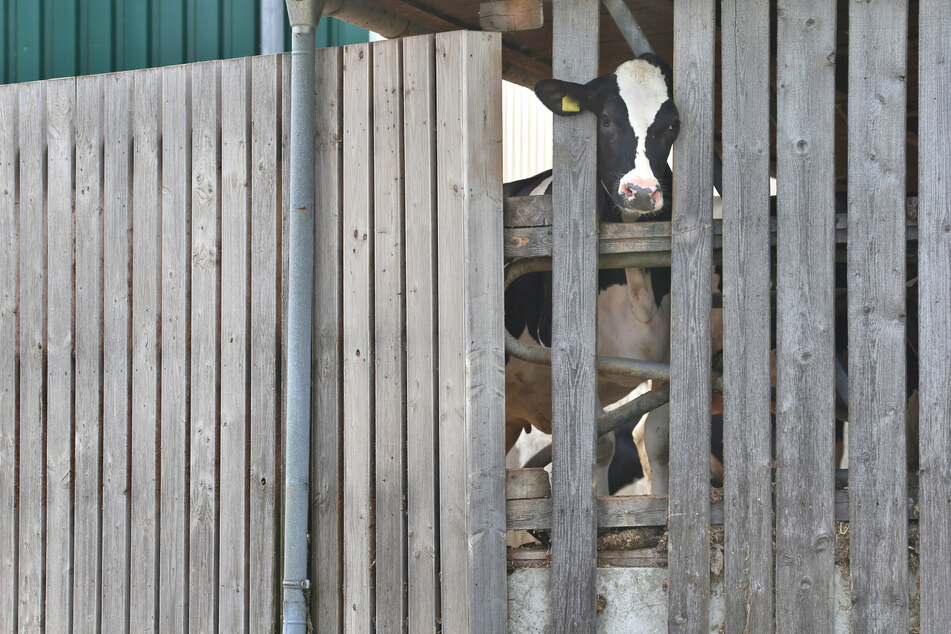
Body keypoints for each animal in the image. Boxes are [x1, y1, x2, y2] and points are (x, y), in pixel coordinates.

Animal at [502, 54, 680, 492]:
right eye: (606, 120)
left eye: (672, 125)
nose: (642, 191)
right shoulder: (574, 351)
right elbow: (599, 445)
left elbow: (659, 439)